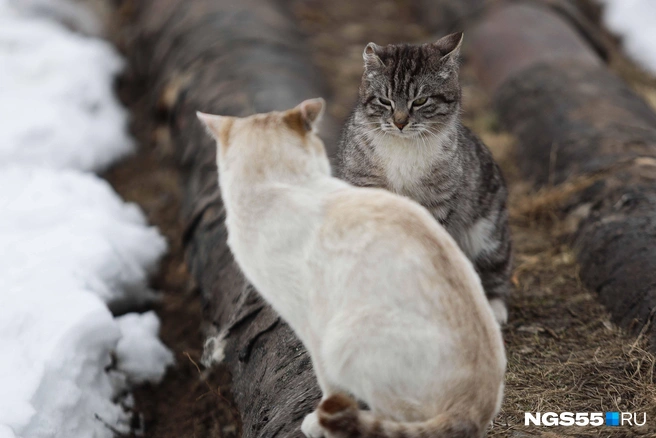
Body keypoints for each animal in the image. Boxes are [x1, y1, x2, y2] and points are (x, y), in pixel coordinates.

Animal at [197, 99, 504, 438]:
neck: (281, 183)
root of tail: (475, 407)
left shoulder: (312, 322)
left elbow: (328, 383)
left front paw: (318, 420)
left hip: (346, 338)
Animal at [338, 32, 512, 324]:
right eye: (384, 101)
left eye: (420, 101)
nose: (399, 123)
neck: (403, 148)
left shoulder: (436, 205)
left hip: (487, 233)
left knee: (495, 269)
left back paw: (493, 308)